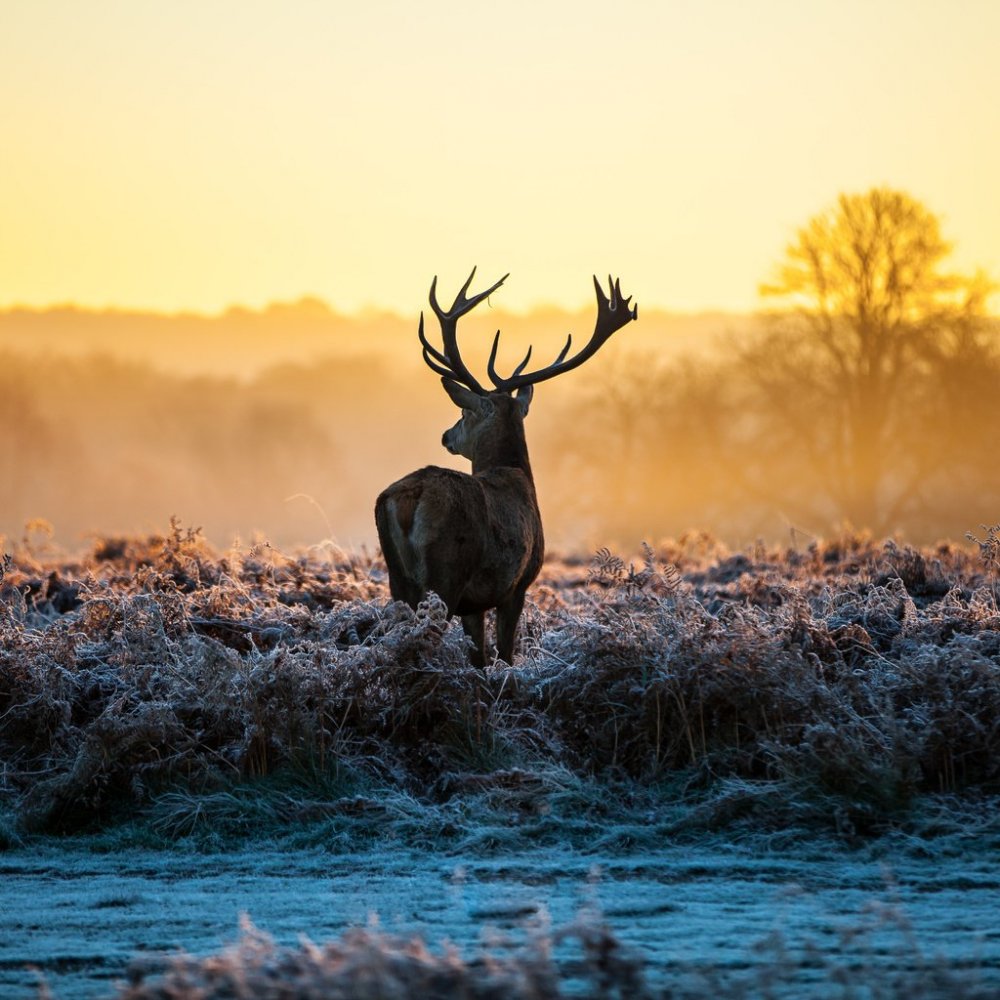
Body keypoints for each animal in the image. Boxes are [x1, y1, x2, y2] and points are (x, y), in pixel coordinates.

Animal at [376, 270, 640, 668]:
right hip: (446, 572)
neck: (516, 475)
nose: (446, 435)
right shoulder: (517, 584)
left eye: (464, 412)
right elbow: (504, 654)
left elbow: (480, 656)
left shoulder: (476, 603)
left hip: (399, 579)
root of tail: (410, 497)